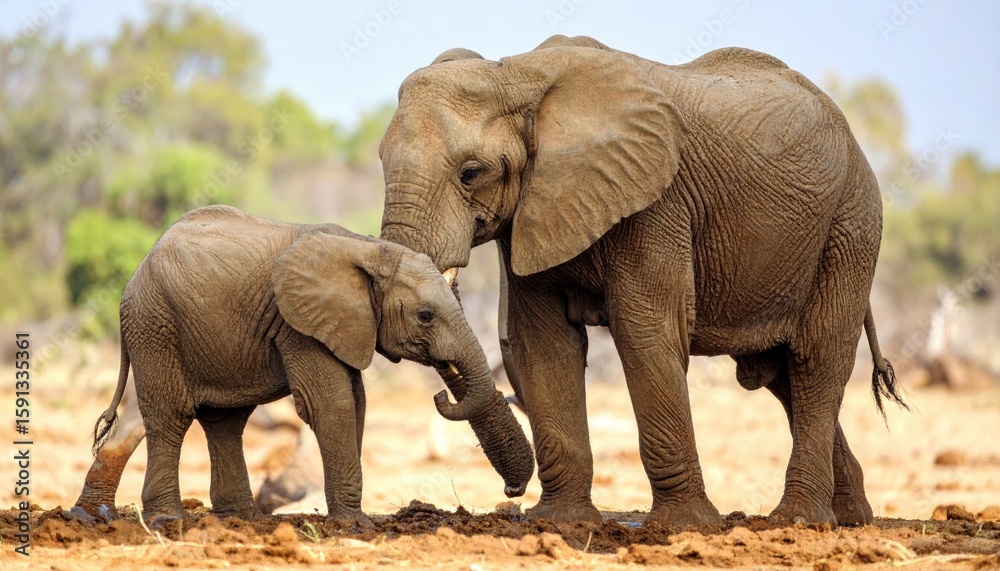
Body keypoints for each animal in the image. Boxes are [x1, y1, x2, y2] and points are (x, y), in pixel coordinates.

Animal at [73, 204, 533, 526]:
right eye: (425, 316)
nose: (511, 491)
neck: (368, 248)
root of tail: (135, 275)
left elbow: (356, 401)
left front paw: (348, 519)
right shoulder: (297, 324)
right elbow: (330, 403)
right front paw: (355, 525)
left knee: (222, 422)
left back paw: (236, 519)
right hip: (156, 323)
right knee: (171, 415)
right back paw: (167, 521)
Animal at [377, 35, 906, 527]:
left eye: (471, 173)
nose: (511, 493)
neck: (517, 72)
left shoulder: (655, 203)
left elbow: (645, 331)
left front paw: (684, 527)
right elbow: (543, 344)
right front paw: (562, 523)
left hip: (851, 223)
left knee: (816, 358)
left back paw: (799, 520)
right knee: (779, 373)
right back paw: (852, 516)